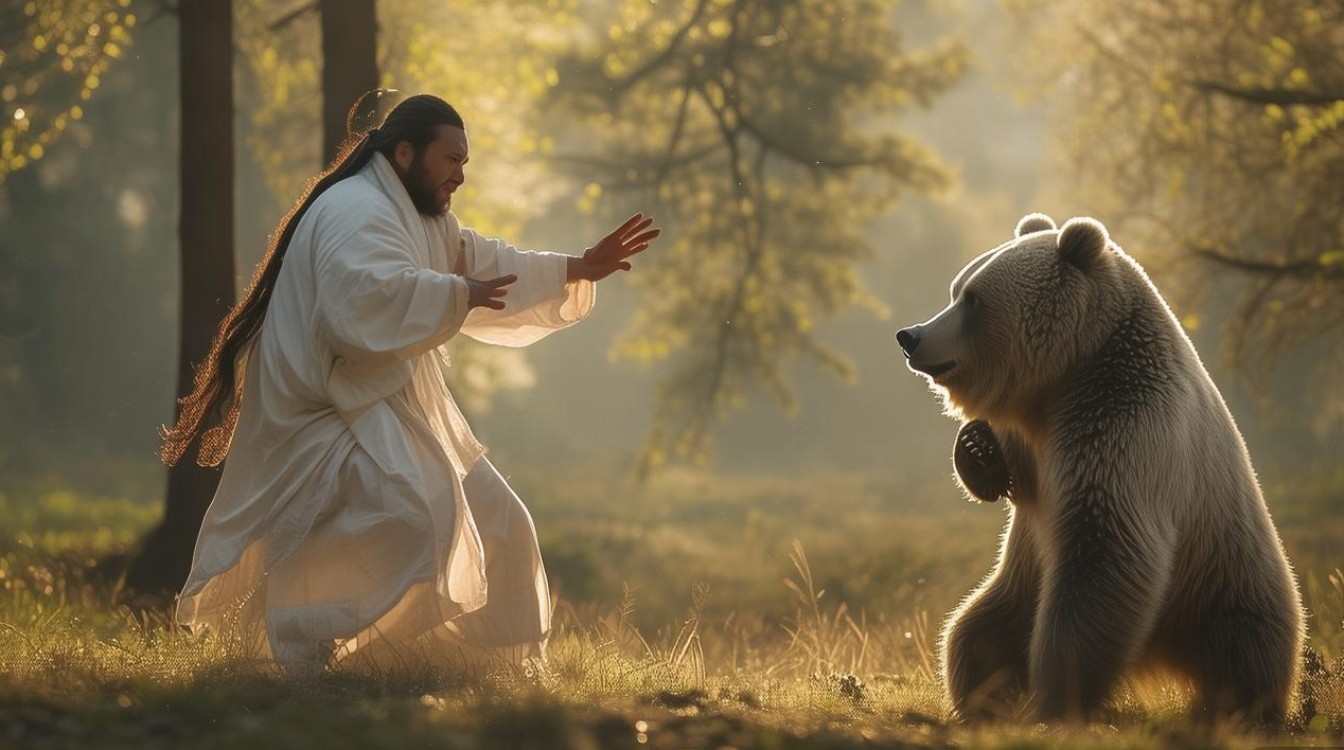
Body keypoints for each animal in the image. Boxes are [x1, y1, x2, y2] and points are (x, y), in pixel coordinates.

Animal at [895, 213, 1304, 725]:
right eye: (955, 290)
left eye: (973, 298)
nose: (911, 336)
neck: (1070, 373)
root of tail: (1158, 652)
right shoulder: (1036, 433)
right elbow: (1011, 479)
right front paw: (976, 446)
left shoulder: (1121, 425)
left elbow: (1103, 550)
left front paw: (1056, 698)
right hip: (1022, 590)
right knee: (975, 633)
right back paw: (982, 698)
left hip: (1223, 581)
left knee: (1244, 652)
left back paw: (1242, 708)